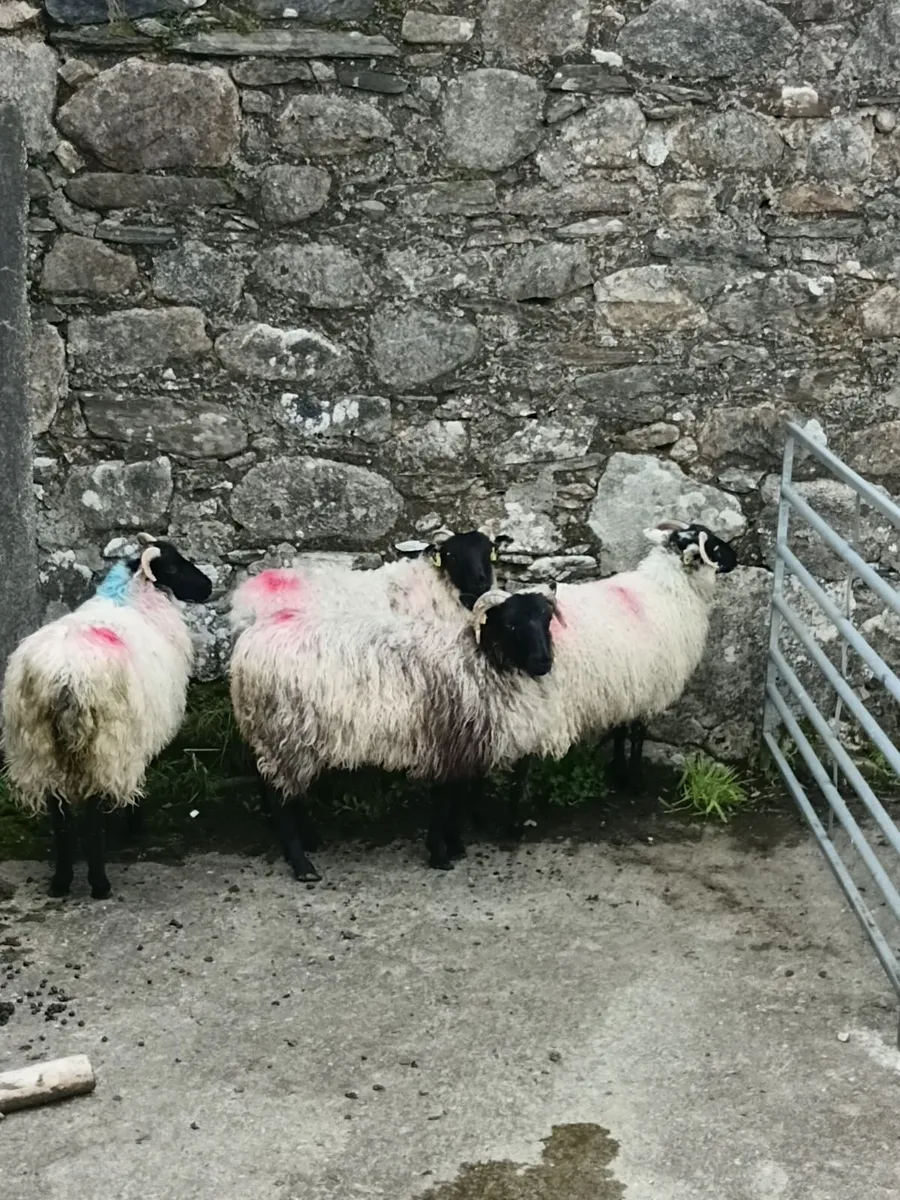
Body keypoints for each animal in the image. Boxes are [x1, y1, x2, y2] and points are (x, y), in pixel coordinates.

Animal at [1, 534, 213, 899]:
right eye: (172, 568)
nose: (208, 587)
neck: (132, 598)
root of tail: (66, 679)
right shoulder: (136, 737)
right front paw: (134, 822)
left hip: (39, 746)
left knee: (60, 815)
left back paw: (61, 880)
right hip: (105, 742)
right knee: (92, 814)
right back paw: (99, 882)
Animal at [228, 583, 562, 880]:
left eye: (547, 619)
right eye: (511, 624)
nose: (543, 662)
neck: (478, 659)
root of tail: (246, 647)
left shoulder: (460, 745)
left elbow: (459, 798)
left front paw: (454, 845)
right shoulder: (447, 741)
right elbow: (445, 800)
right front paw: (440, 853)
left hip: (275, 735)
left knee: (280, 789)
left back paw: (309, 840)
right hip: (285, 731)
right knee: (280, 799)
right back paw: (302, 865)